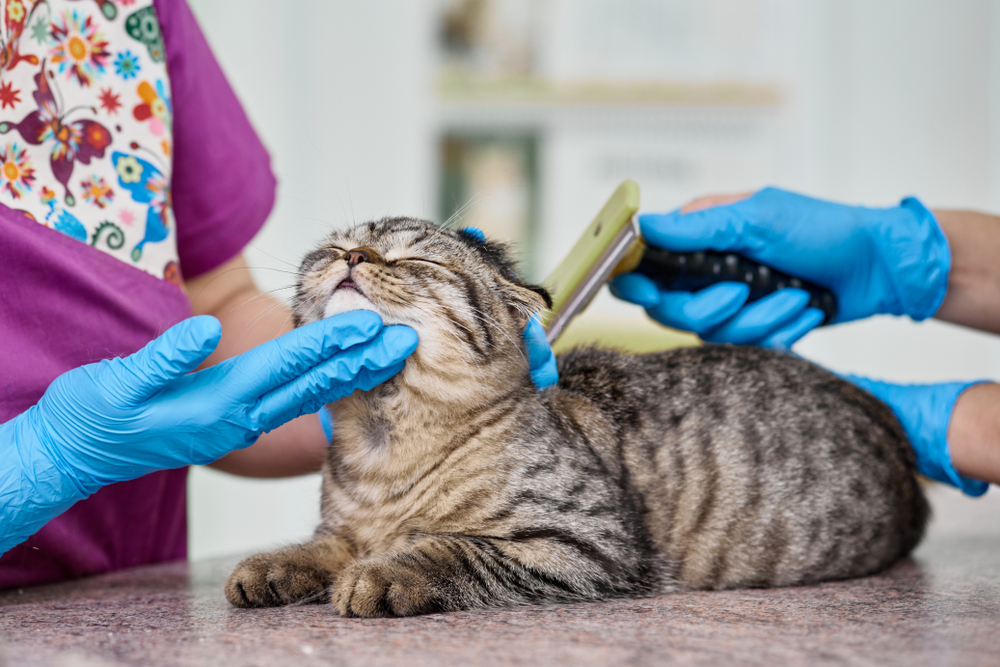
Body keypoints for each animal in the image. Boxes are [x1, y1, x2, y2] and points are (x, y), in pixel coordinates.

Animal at [225, 217, 928, 620]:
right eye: (334, 247)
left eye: (417, 262)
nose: (354, 259)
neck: (384, 445)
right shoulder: (344, 528)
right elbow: (323, 547)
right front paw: (274, 566)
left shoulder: (587, 544)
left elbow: (452, 549)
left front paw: (387, 572)